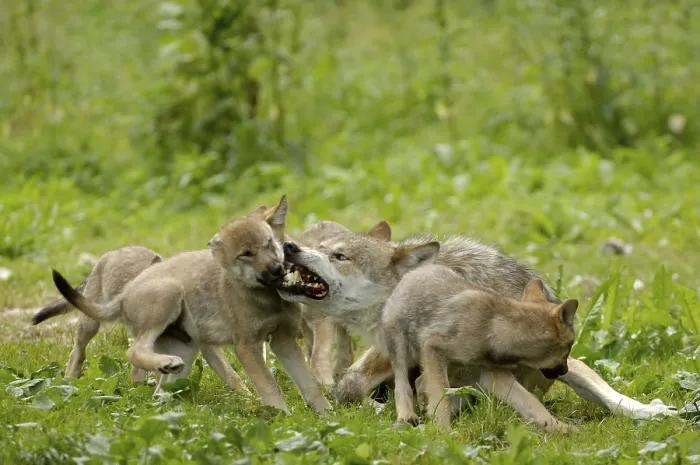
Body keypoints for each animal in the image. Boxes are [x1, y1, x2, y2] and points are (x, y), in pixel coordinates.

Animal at [51, 196, 330, 413]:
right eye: (246, 254)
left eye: (269, 244)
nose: (276, 269)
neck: (266, 297)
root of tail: (125, 293)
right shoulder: (246, 347)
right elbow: (270, 387)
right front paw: (281, 417)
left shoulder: (283, 341)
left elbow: (310, 385)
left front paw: (326, 417)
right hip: (167, 297)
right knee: (129, 352)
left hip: (187, 351)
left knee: (159, 392)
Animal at [276, 227, 677, 428]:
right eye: (321, 246)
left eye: (339, 256)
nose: (289, 246)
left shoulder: (562, 363)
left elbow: (610, 397)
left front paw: (653, 412)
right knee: (352, 387)